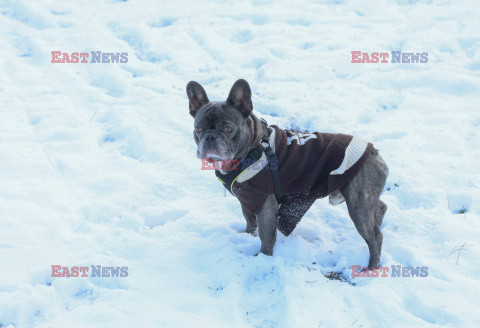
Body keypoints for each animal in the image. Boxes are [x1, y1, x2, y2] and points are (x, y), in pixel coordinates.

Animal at [186, 79, 388, 270]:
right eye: (198, 129)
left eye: (228, 129)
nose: (210, 137)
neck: (253, 148)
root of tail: (374, 152)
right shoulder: (246, 199)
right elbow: (249, 219)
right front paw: (247, 234)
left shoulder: (265, 205)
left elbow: (266, 235)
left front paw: (263, 258)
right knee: (380, 207)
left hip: (358, 203)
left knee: (374, 237)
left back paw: (371, 267)